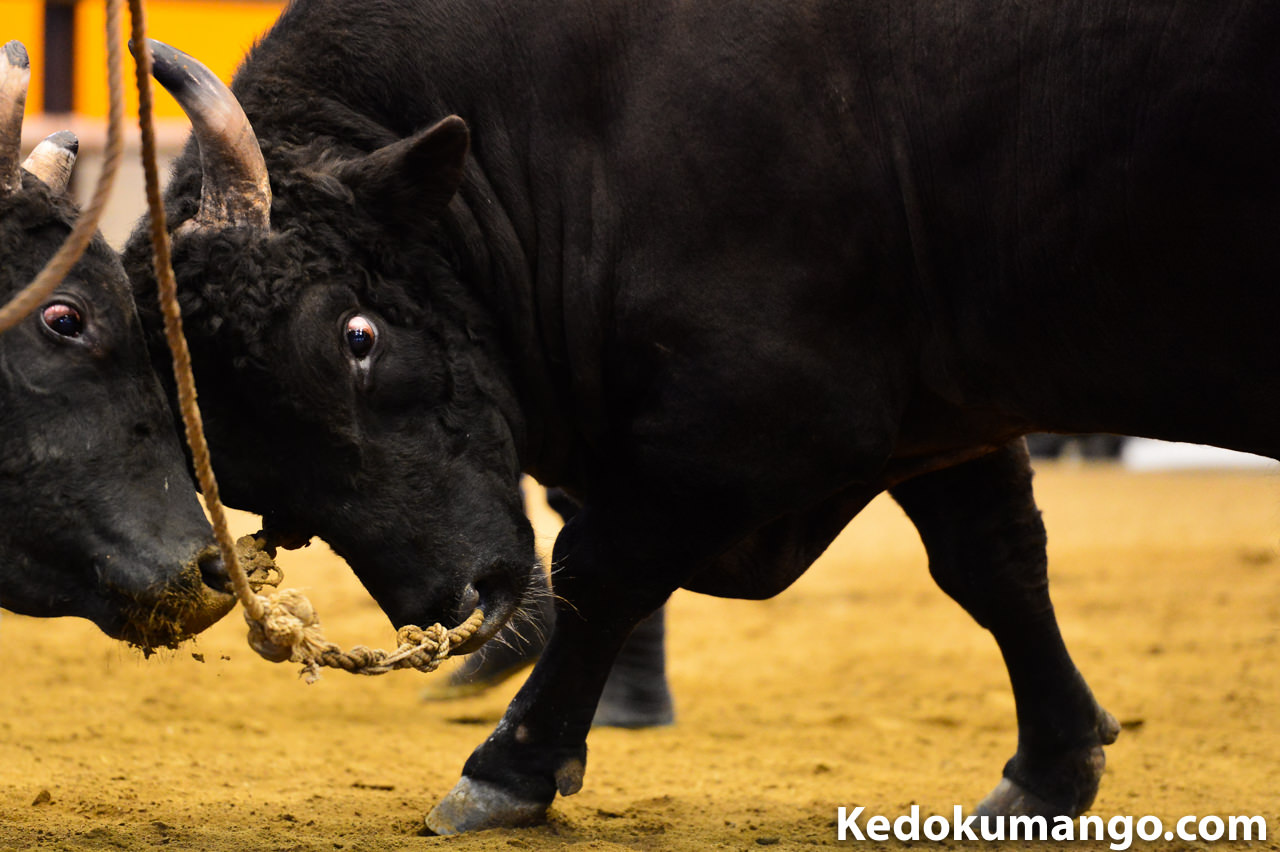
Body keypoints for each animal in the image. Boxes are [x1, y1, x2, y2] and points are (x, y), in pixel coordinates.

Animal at [124, 0, 1280, 834]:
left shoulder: (758, 421)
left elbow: (599, 568)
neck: (579, 122)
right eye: (243, 470)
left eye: (356, 337)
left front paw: (508, 768)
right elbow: (995, 566)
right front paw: (1050, 766)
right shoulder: (939, 402)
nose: (466, 604)